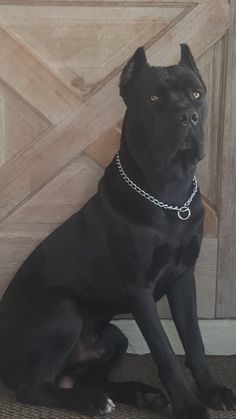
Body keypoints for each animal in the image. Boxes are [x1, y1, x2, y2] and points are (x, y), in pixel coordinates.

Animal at [0, 44, 236, 418]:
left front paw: (211, 392)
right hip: (63, 308)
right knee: (33, 388)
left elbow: (194, 340)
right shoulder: (139, 288)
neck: (169, 193)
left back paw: (141, 394)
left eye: (197, 94)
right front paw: (189, 406)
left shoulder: (183, 277)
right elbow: (164, 350)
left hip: (113, 335)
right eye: (154, 98)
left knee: (86, 377)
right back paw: (94, 402)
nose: (188, 117)